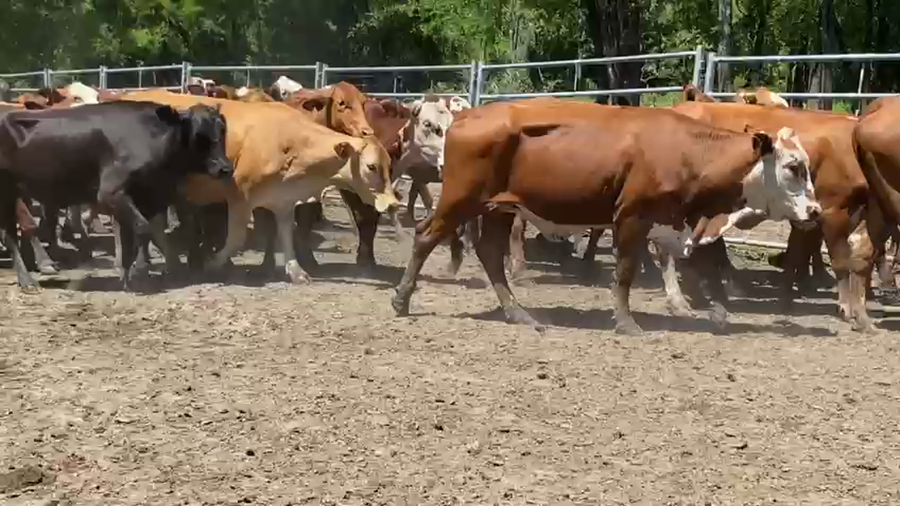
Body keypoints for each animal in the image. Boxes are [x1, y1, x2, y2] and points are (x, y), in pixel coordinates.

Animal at [0, 100, 233, 292]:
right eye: (198, 135)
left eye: (222, 130)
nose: (225, 168)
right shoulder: (111, 193)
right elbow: (142, 231)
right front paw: (137, 275)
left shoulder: (146, 199)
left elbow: (131, 237)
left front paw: (127, 276)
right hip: (7, 194)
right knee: (10, 236)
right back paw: (28, 281)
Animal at [119, 90, 401, 284]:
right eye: (371, 166)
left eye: (389, 164)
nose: (394, 203)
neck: (290, 142)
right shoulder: (239, 196)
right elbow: (235, 238)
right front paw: (213, 264)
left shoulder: (284, 200)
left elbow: (286, 234)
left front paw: (295, 271)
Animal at [391, 98, 820, 335]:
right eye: (794, 167)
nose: (816, 211)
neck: (687, 152)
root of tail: (464, 119)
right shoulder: (632, 218)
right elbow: (627, 271)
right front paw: (627, 323)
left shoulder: (681, 220)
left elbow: (707, 261)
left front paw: (715, 311)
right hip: (461, 200)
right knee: (426, 235)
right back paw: (401, 299)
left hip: (499, 207)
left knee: (491, 253)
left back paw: (518, 313)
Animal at [672, 101, 876, 331]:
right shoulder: (833, 211)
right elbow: (839, 259)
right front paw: (845, 307)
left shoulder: (810, 217)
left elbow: (797, 254)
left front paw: (787, 298)